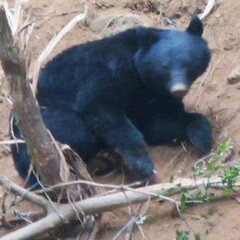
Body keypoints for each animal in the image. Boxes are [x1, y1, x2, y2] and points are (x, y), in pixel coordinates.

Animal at [10, 16, 212, 186]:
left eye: (188, 64)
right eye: (165, 66)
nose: (179, 89)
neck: (141, 76)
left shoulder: (151, 97)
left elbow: (160, 122)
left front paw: (202, 136)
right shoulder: (105, 72)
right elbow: (101, 108)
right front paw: (143, 165)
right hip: (47, 118)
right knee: (76, 133)